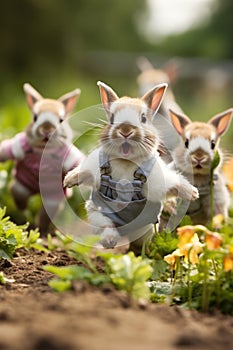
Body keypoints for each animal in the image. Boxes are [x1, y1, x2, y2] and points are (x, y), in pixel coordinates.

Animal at [0, 83, 84, 234]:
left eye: (61, 120)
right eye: (35, 118)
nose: (46, 129)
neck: (43, 150)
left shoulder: (69, 155)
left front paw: (73, 177)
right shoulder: (20, 144)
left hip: (52, 199)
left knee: (45, 215)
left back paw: (41, 231)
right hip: (21, 186)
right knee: (19, 194)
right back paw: (24, 213)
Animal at [63, 82, 198, 252]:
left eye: (143, 118)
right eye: (112, 118)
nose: (125, 131)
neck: (126, 161)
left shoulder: (158, 179)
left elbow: (173, 184)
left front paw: (192, 193)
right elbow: (84, 171)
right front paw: (68, 180)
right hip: (98, 213)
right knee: (107, 227)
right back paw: (109, 241)